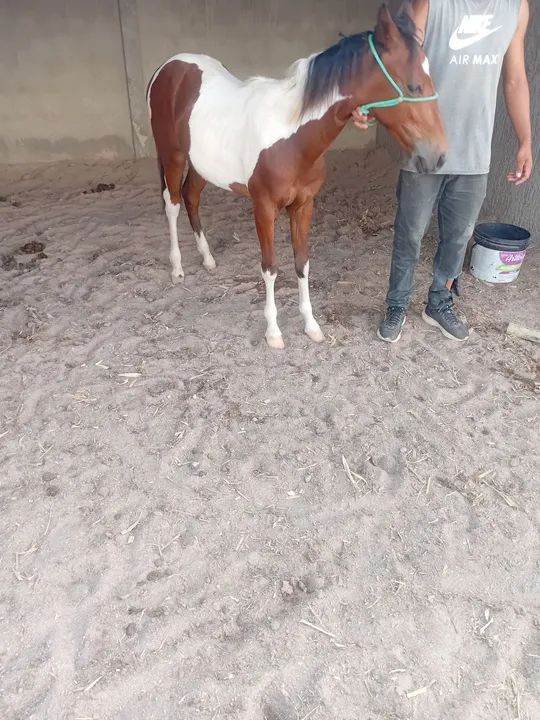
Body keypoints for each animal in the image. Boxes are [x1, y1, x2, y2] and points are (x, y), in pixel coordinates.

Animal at [147, 2, 447, 349]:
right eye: (413, 85)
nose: (439, 156)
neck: (292, 137)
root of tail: (167, 67)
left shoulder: (304, 205)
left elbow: (302, 262)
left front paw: (311, 325)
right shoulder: (263, 208)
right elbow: (270, 267)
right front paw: (273, 333)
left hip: (200, 165)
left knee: (192, 198)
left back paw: (208, 259)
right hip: (173, 157)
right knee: (172, 203)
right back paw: (177, 268)